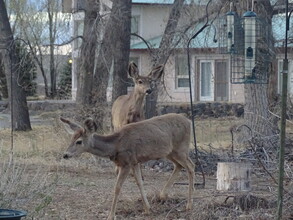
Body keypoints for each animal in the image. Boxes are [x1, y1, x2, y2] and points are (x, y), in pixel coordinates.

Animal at [60, 113, 194, 220]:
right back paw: (163, 194)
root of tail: (189, 121)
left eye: (79, 141)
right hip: (170, 152)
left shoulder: (126, 163)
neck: (115, 145)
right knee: (179, 165)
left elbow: (117, 187)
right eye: (71, 138)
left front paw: (111, 215)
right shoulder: (134, 162)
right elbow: (140, 183)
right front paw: (148, 209)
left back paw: (188, 205)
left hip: (181, 148)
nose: (65, 155)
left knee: (191, 166)